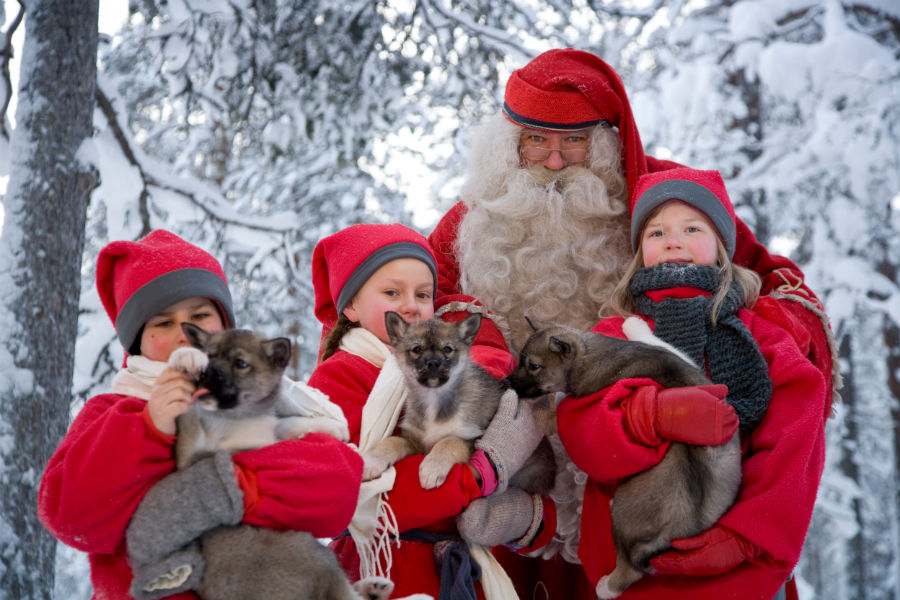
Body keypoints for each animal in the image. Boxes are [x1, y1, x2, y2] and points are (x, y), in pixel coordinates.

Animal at [167, 326, 392, 600]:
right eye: (209, 356)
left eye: (240, 363)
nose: (206, 374)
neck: (238, 416)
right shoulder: (191, 451)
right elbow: (191, 416)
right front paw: (184, 358)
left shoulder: (263, 431)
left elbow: (286, 423)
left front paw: (334, 429)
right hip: (310, 551)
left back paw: (375, 587)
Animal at [360, 312, 556, 494]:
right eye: (416, 349)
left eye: (447, 349)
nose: (433, 363)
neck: (434, 398)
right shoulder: (414, 441)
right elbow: (392, 441)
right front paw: (372, 460)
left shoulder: (472, 439)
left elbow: (449, 441)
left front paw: (432, 467)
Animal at [510, 316, 740, 596]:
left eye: (533, 366)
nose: (506, 382)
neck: (586, 352)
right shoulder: (675, 355)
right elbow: (660, 342)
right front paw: (635, 325)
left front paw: (631, 323)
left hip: (623, 520)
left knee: (629, 569)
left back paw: (604, 587)